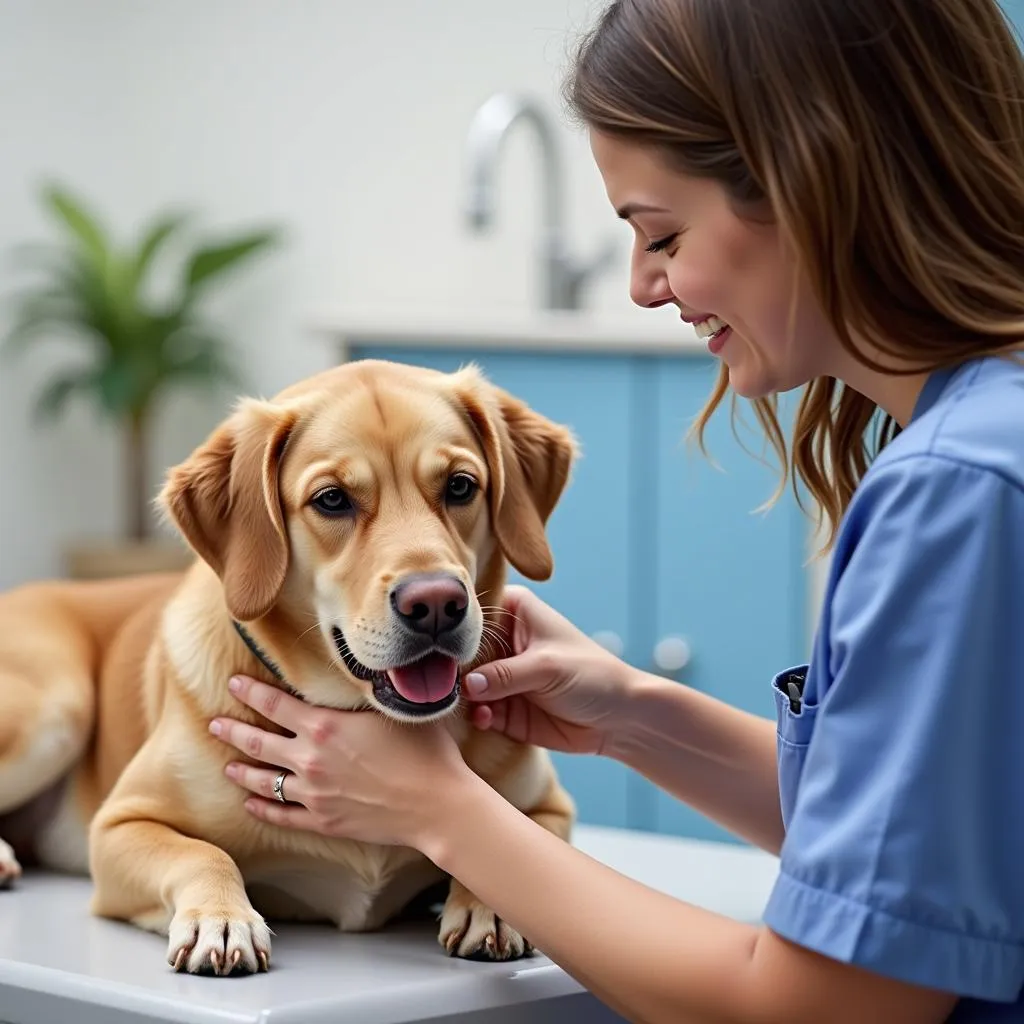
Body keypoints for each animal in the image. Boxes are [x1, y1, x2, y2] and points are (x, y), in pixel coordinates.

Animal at [0, 360, 577, 974]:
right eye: (332, 500)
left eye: (461, 486)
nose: (438, 604)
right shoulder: (120, 826)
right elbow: (202, 853)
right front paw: (221, 918)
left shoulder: (550, 810)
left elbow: (517, 847)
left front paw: (490, 904)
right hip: (55, 709)